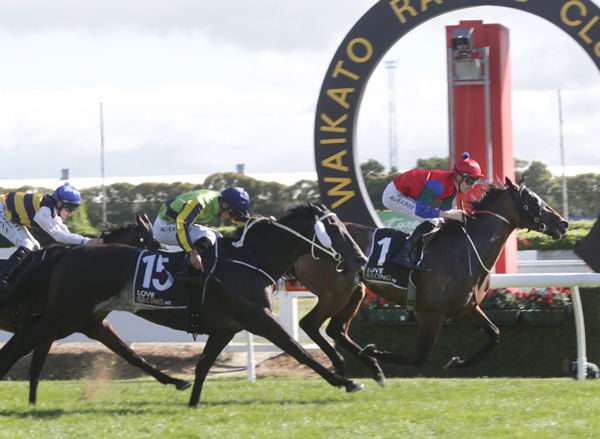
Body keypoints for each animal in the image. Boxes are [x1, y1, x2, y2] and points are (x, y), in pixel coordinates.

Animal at [0, 201, 366, 408]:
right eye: (333, 228)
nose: (360, 259)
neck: (249, 259)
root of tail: (65, 255)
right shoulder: (258, 318)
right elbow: (298, 349)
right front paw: (347, 381)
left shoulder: (226, 327)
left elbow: (203, 365)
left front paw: (192, 402)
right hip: (63, 316)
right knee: (18, 346)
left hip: (83, 318)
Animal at [292, 177, 568, 384]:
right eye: (532, 200)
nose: (563, 222)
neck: (466, 249)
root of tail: (306, 241)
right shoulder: (433, 312)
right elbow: (421, 357)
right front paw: (374, 350)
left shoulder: (466, 309)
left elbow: (495, 334)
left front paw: (458, 362)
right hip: (335, 292)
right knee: (310, 324)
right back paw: (345, 364)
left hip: (354, 290)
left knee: (335, 329)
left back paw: (370, 368)